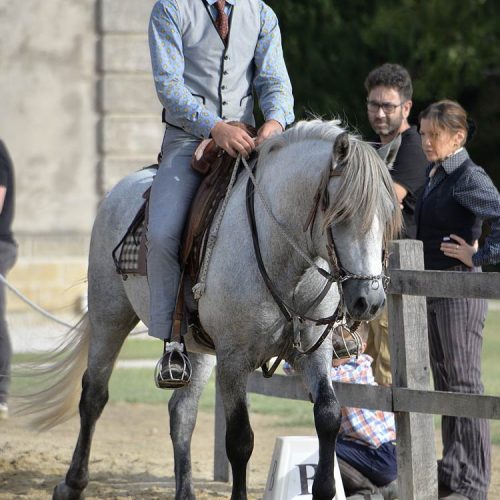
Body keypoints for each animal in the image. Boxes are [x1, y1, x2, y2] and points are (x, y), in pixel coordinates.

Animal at [23, 120, 400, 500]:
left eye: (387, 214)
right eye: (344, 213)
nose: (370, 301)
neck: (279, 256)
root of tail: (122, 188)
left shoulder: (313, 351)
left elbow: (328, 416)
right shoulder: (234, 359)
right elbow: (240, 439)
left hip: (194, 346)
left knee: (182, 413)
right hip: (109, 317)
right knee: (94, 395)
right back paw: (72, 483)